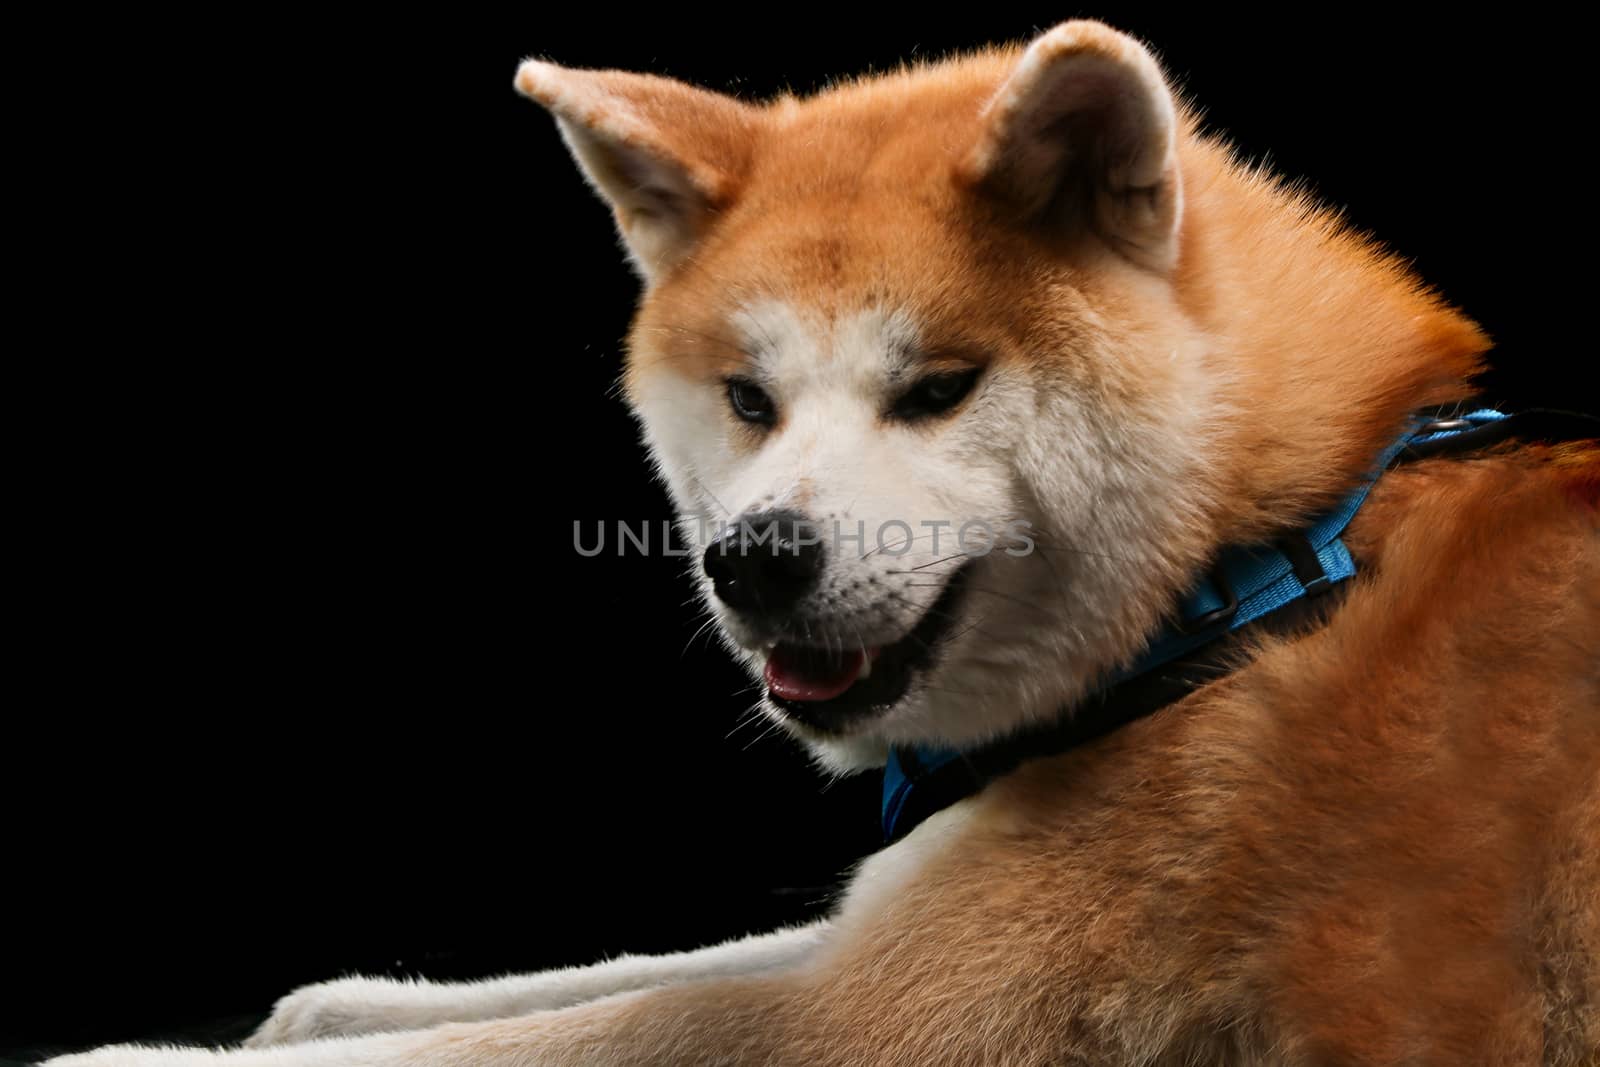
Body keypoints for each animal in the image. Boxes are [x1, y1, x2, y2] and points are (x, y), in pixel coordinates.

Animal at [50, 16, 1600, 1067]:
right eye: (749, 398)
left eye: (939, 387)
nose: (753, 559)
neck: (1262, 561)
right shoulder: (879, 925)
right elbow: (605, 970)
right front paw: (325, 1000)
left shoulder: (873, 1011)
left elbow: (577, 1027)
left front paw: (130, 1055)